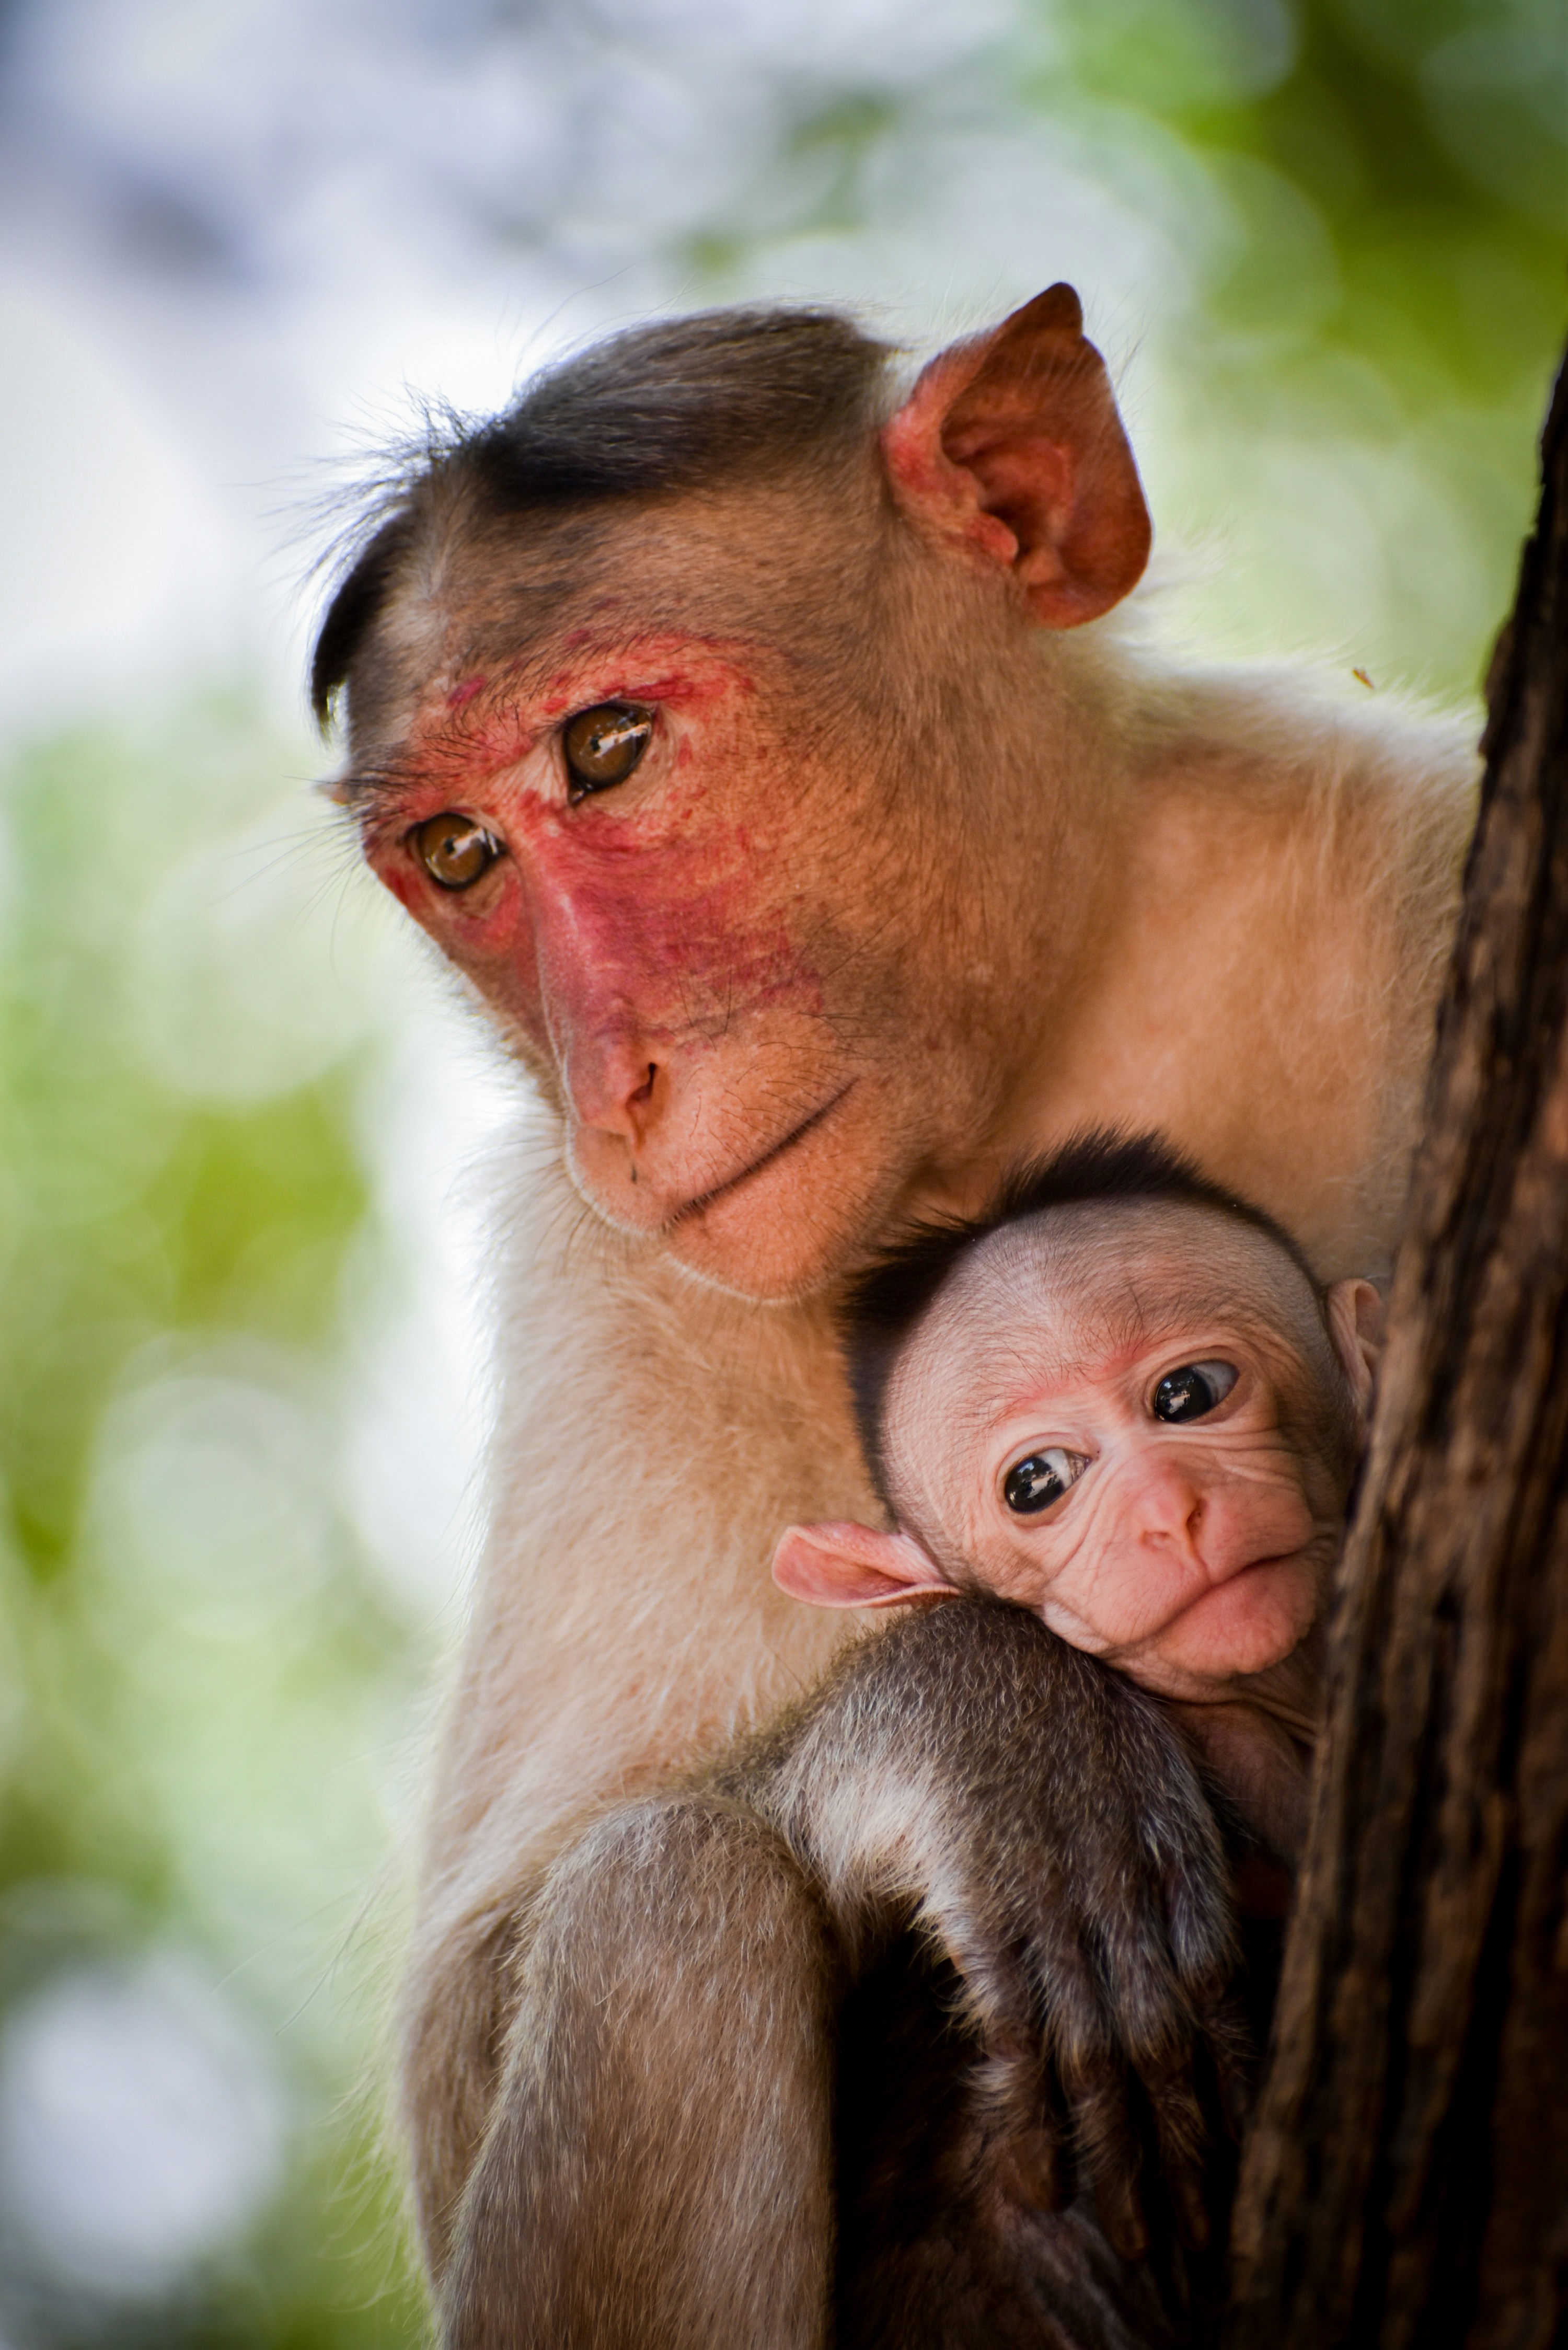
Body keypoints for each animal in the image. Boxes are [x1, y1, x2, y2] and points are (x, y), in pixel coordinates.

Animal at [309, 287, 1477, 2342]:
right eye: (459, 857)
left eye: (606, 749)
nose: (614, 1080)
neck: (1028, 1051)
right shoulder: (600, 1266)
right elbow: (475, 2021)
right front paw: (989, 1727)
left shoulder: (1420, 851)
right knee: (665, 1902)